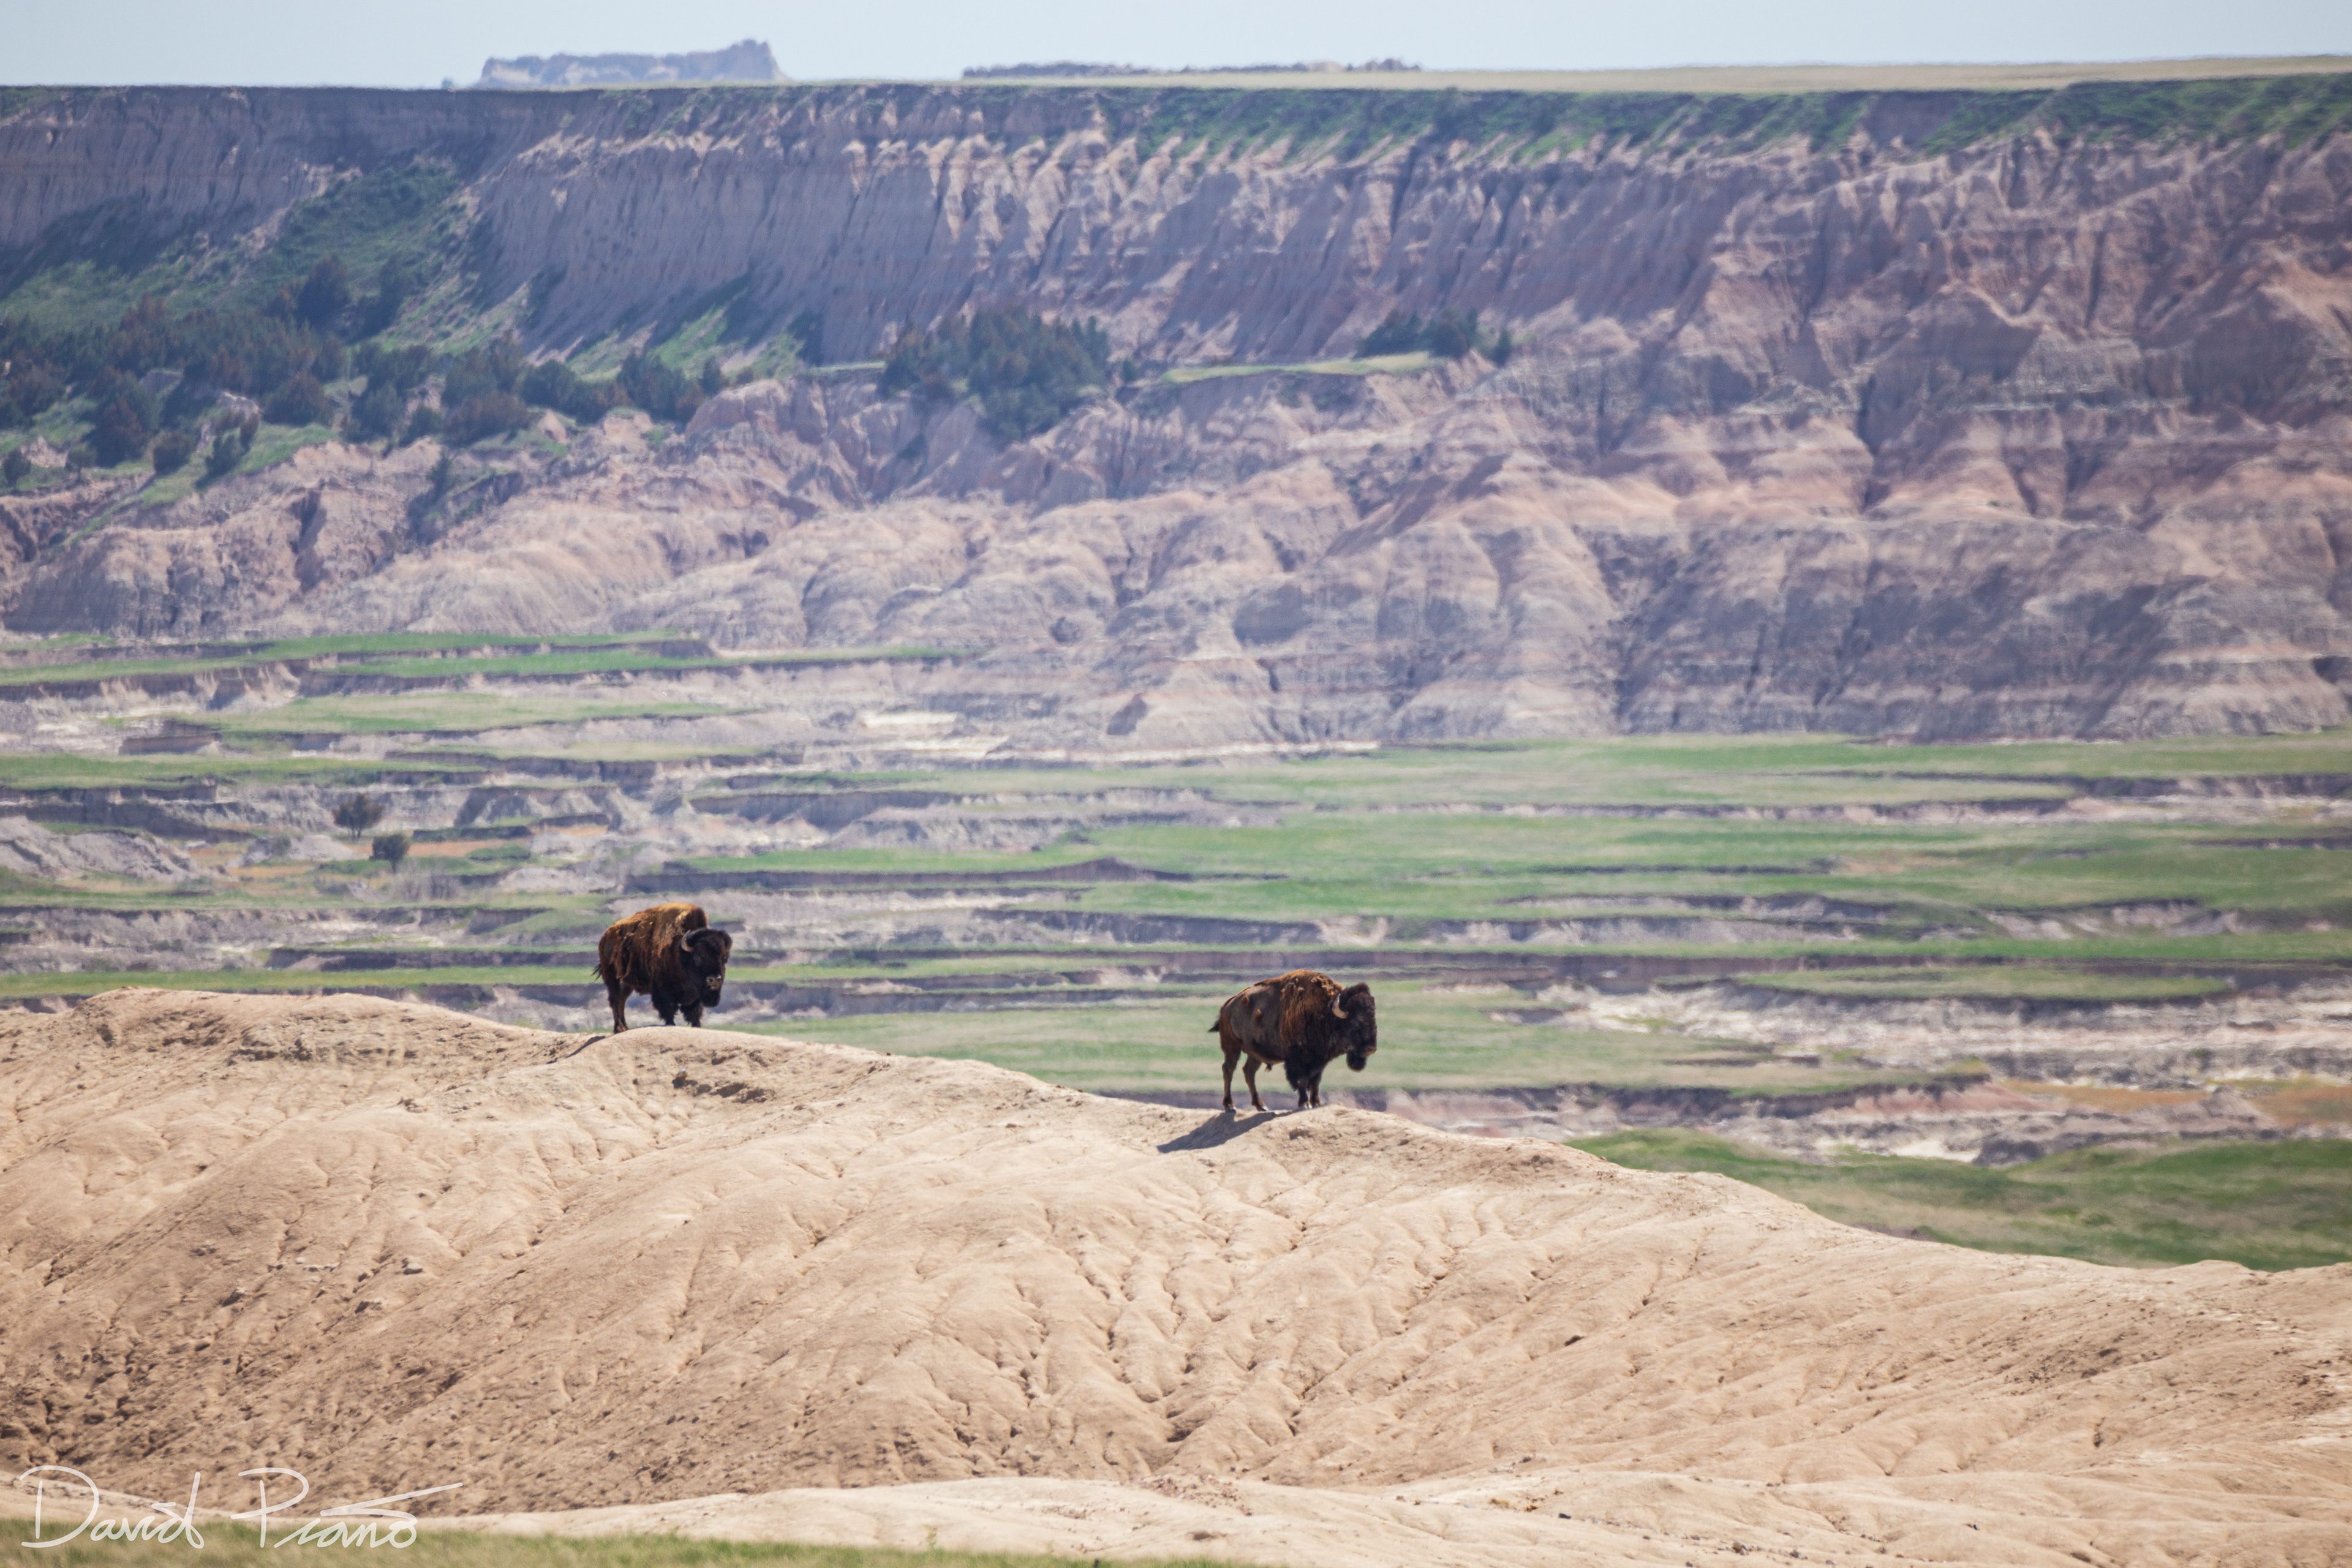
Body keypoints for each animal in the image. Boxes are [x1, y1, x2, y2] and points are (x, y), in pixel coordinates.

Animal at [596, 901, 733, 1031]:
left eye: (724, 958)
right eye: (698, 957)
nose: (714, 980)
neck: (680, 952)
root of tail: (605, 937)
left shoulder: (695, 995)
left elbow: (694, 1012)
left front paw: (697, 1026)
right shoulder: (663, 990)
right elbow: (668, 1009)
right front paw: (671, 1024)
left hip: (627, 984)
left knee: (621, 1002)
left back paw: (625, 1028)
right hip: (612, 979)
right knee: (615, 1001)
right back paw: (619, 1029)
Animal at [1209, 969, 1377, 1111]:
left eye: (1374, 1020)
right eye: (1355, 1022)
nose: (1371, 1049)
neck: (1325, 1014)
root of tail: (1227, 1006)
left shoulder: (1319, 1061)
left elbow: (1315, 1081)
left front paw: (1316, 1102)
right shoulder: (1296, 1059)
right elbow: (1302, 1081)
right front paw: (1304, 1104)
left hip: (1254, 1054)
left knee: (1249, 1072)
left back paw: (1261, 1106)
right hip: (1232, 1047)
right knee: (1229, 1070)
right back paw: (1230, 1106)